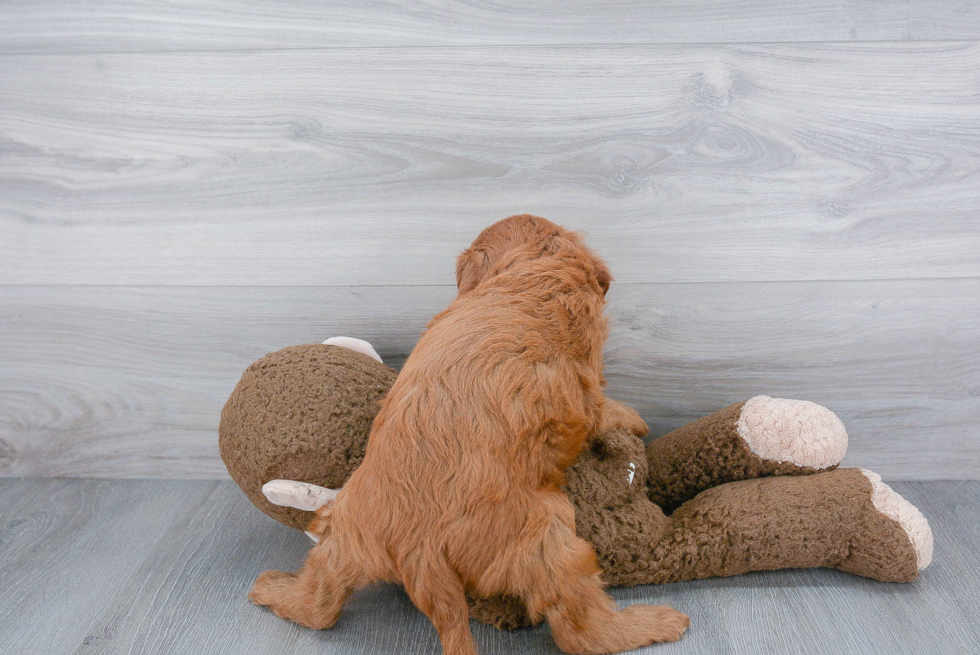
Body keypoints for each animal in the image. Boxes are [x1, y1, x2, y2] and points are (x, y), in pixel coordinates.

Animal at [249, 217, 684, 655]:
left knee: (320, 601)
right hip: (549, 541)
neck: (532, 270)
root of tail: (419, 552)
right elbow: (603, 411)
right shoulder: (587, 388)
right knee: (582, 631)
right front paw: (632, 418)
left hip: (345, 535)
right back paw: (658, 622)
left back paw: (270, 588)